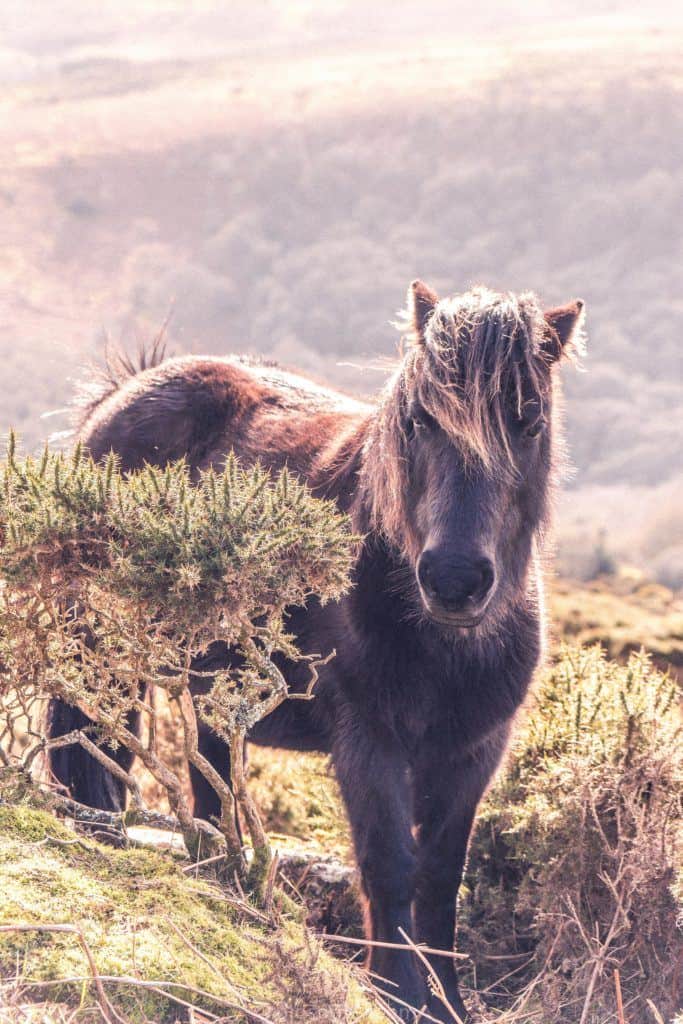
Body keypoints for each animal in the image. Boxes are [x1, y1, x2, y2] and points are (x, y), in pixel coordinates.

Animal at [48, 281, 585, 1022]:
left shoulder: (473, 752)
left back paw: (226, 886)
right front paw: (398, 995)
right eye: (419, 421)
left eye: (529, 421)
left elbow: (442, 875)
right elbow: (390, 865)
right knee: (91, 737)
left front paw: (445, 1001)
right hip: (104, 644)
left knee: (210, 789)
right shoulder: (369, 740)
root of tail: (125, 390)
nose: (453, 580)